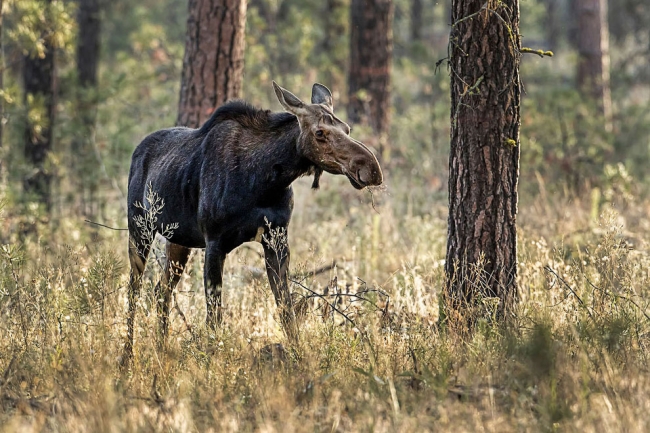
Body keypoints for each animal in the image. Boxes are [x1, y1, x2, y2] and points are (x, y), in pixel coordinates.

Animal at [124, 82, 382, 362]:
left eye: (347, 128)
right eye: (320, 132)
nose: (371, 168)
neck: (267, 180)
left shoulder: (277, 239)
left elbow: (286, 308)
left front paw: (299, 356)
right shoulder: (214, 242)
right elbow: (214, 314)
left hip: (179, 240)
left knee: (161, 291)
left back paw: (161, 349)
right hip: (139, 228)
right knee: (134, 290)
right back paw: (127, 357)